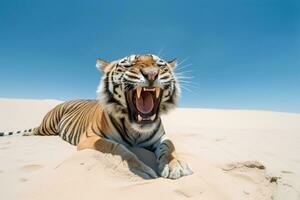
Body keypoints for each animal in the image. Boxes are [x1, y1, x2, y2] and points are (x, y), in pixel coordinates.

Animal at [0, 54, 192, 180]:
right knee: (35, 130)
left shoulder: (160, 137)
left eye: (160, 65)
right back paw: (26, 134)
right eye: (128, 65)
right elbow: (118, 148)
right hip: (48, 125)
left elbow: (169, 147)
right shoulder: (90, 138)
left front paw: (175, 165)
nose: (152, 73)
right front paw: (140, 170)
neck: (136, 129)